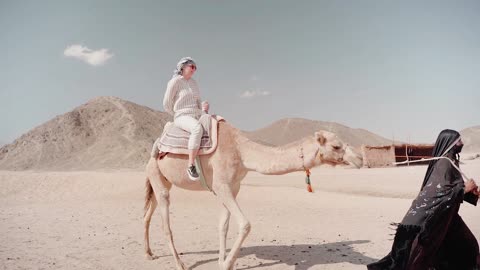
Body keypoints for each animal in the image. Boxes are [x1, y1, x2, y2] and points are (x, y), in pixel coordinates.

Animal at [144, 121, 362, 268]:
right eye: (336, 146)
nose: (359, 159)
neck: (242, 152)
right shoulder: (221, 185)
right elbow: (245, 224)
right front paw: (226, 264)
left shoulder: (232, 186)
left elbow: (223, 226)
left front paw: (222, 261)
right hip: (157, 176)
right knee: (165, 223)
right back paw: (179, 264)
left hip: (160, 180)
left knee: (147, 214)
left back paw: (149, 254)